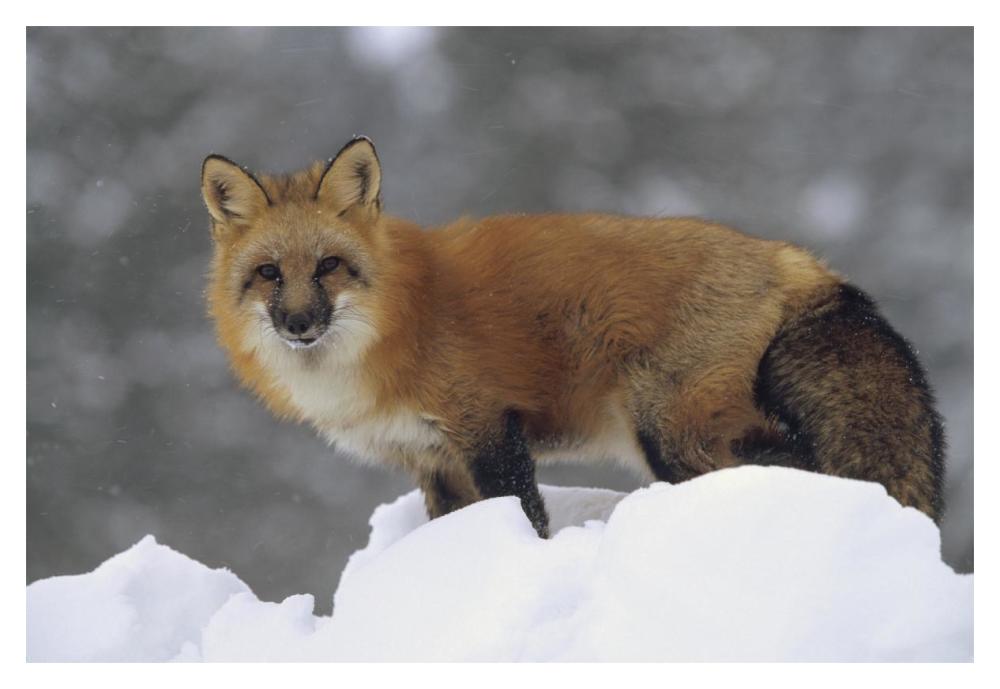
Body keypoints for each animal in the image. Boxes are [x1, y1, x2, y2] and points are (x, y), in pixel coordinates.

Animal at [201, 136, 945, 537]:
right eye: (269, 274)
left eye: (329, 266)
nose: (300, 324)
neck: (395, 325)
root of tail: (795, 260)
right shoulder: (433, 461)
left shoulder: (487, 429)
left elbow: (525, 515)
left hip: (670, 434)